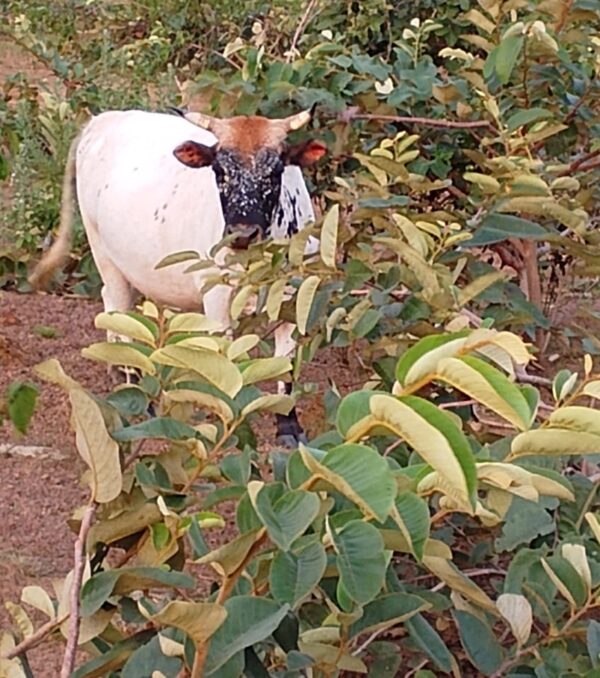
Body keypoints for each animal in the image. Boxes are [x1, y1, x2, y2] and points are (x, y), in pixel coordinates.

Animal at [29, 107, 327, 444]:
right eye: (219, 171)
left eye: (275, 172)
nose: (241, 233)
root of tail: (101, 119)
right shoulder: (217, 299)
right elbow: (226, 361)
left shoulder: (294, 298)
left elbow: (285, 366)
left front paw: (289, 427)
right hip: (102, 252)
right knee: (118, 306)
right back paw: (135, 390)